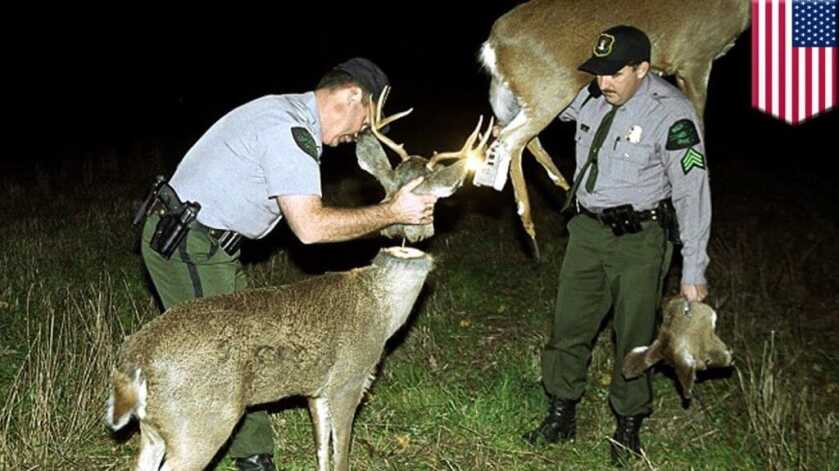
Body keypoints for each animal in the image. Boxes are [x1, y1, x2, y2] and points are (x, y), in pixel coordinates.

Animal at [480, 0, 751, 258]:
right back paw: (531, 227)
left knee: (513, 135)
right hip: (550, 89)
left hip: (516, 96)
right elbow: (698, 125)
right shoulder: (696, 56)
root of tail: (493, 44)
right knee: (512, 139)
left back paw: (564, 190)